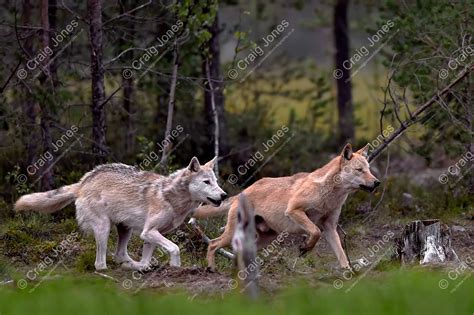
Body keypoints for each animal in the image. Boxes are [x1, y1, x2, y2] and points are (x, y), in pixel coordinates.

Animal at [15, 157, 227, 272]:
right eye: (207, 182)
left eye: (216, 181)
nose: (224, 195)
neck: (172, 198)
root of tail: (83, 182)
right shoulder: (149, 232)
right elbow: (175, 249)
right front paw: (175, 267)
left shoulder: (150, 235)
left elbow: (147, 258)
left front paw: (146, 267)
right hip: (104, 228)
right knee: (100, 263)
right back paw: (111, 270)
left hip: (125, 229)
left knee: (120, 256)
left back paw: (132, 266)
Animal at [191, 146, 380, 272]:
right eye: (359, 170)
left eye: (369, 169)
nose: (377, 182)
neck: (330, 195)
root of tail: (241, 193)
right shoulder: (295, 211)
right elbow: (315, 232)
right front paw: (305, 248)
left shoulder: (330, 227)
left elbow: (341, 255)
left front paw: (348, 273)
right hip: (232, 235)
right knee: (213, 244)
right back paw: (212, 269)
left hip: (263, 239)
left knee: (237, 255)